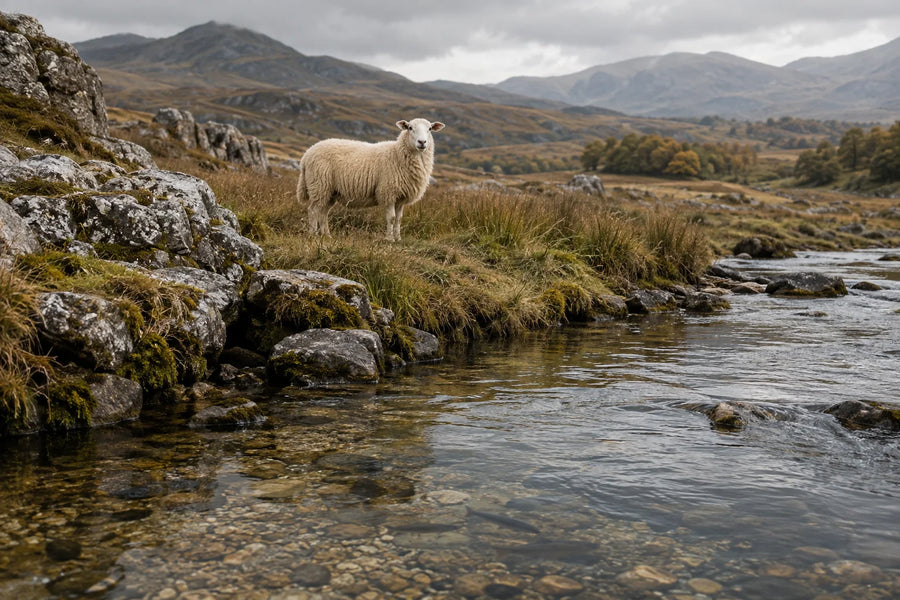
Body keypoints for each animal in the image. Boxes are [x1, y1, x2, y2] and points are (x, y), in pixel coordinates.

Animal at [297, 118, 445, 241]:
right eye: (410, 128)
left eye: (430, 129)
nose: (422, 142)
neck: (397, 153)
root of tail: (306, 155)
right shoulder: (388, 192)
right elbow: (391, 218)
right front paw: (389, 239)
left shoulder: (401, 197)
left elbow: (399, 219)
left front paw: (398, 239)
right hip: (319, 185)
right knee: (313, 210)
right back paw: (313, 235)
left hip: (330, 191)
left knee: (323, 212)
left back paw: (327, 235)